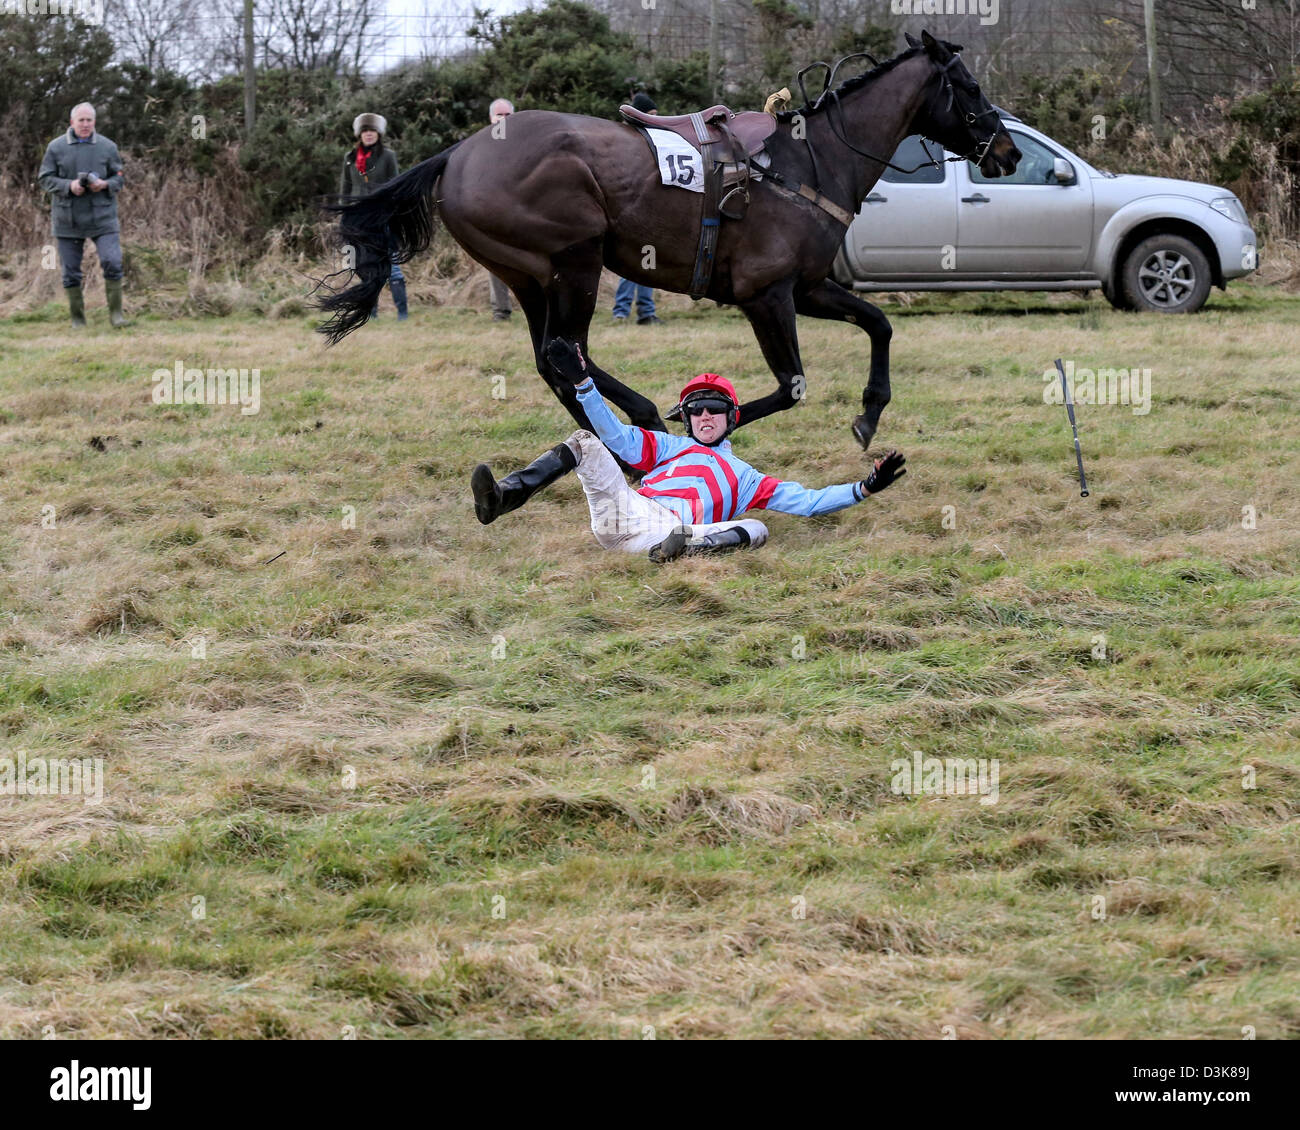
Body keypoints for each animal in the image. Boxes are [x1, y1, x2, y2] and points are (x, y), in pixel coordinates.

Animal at [319, 29, 1019, 449]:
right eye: (971, 87)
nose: (1008, 151)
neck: (812, 162)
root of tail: (456, 156)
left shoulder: (809, 287)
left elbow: (879, 324)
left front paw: (870, 413)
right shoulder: (767, 295)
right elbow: (790, 386)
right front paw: (701, 423)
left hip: (529, 277)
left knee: (555, 360)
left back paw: (633, 429)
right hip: (573, 262)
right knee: (564, 355)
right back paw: (646, 425)